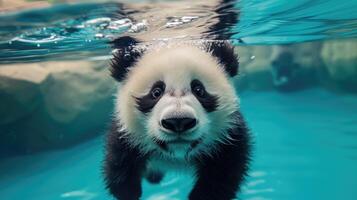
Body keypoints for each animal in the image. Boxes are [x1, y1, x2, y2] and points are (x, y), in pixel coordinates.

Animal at [103, 1, 250, 200]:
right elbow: (119, 162)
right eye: (156, 92)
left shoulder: (229, 133)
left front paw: (200, 195)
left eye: (199, 90)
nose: (178, 121)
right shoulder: (125, 134)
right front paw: (129, 191)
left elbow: (225, 170)